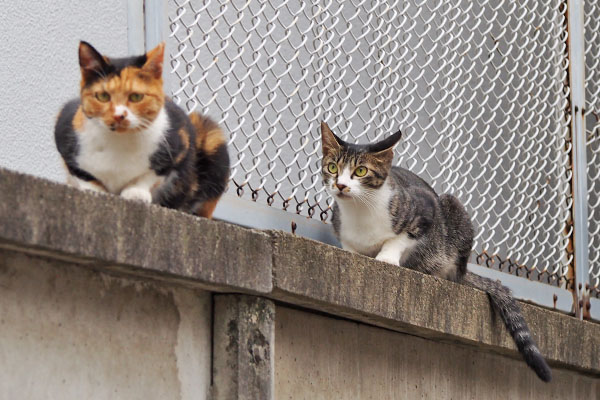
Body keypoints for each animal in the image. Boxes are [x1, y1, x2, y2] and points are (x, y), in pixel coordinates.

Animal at [54, 41, 230, 217]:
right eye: (103, 96)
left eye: (136, 96)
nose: (119, 115)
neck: (119, 143)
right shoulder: (63, 129)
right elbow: (84, 176)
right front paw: (96, 192)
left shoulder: (179, 141)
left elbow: (152, 174)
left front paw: (135, 192)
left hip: (211, 139)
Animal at [322, 121, 552, 382]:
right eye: (332, 168)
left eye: (360, 171)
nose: (340, 185)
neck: (360, 211)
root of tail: (464, 270)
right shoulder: (339, 226)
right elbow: (349, 246)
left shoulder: (425, 211)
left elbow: (399, 239)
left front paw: (387, 257)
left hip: (453, 209)